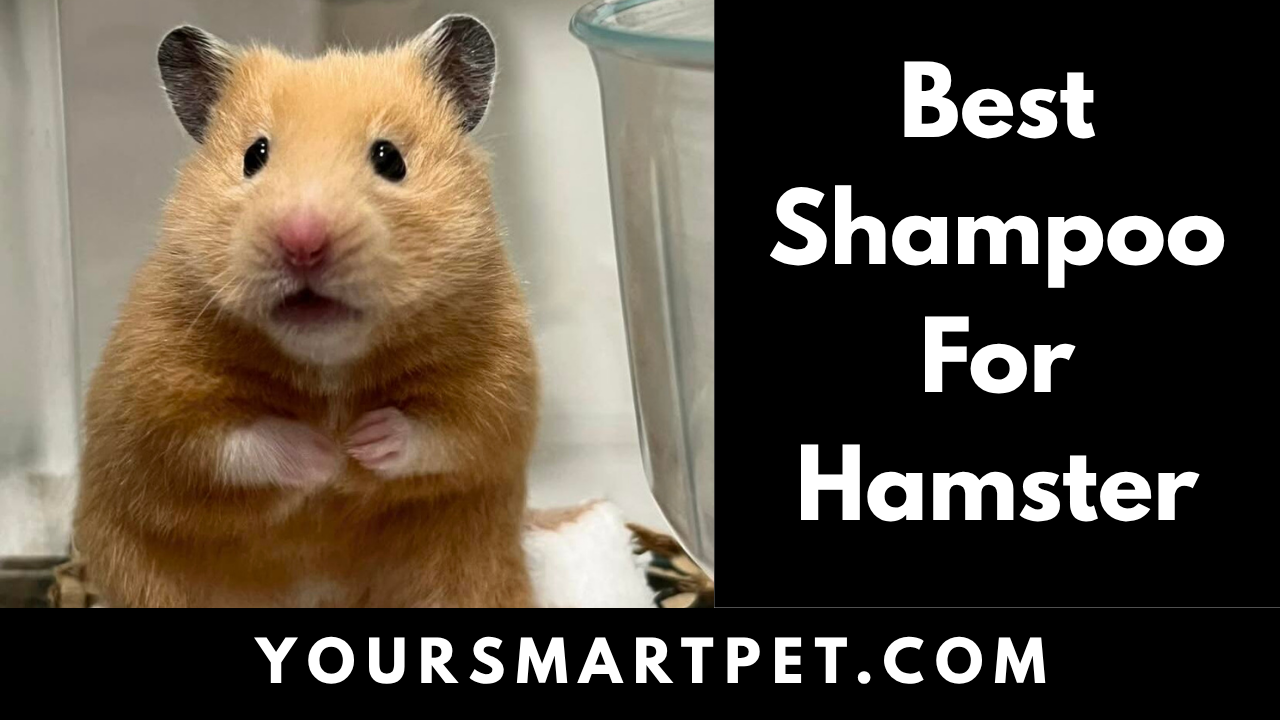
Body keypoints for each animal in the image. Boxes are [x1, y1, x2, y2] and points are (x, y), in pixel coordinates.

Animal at [73, 15, 539, 607]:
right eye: (255, 155)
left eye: (390, 158)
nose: (302, 240)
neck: (328, 361)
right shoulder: (155, 400)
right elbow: (232, 441)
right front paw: (326, 454)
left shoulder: (499, 384)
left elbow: (446, 432)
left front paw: (362, 442)